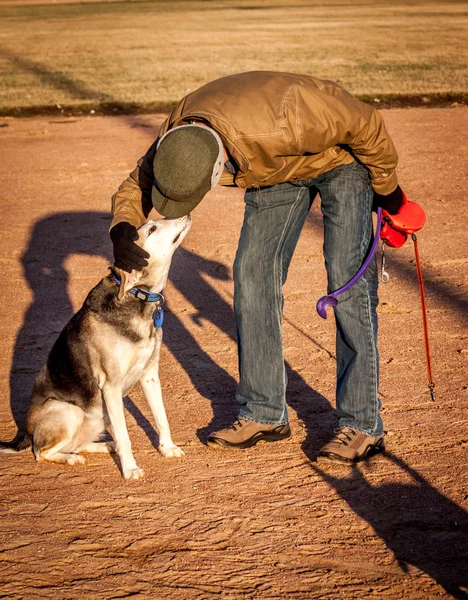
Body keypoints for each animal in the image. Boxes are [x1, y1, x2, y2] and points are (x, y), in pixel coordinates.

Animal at [0, 216, 192, 478]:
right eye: (152, 229)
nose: (186, 215)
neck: (136, 297)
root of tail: (27, 435)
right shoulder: (111, 385)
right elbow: (125, 436)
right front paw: (130, 469)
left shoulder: (150, 374)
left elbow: (161, 418)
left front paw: (167, 448)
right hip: (71, 412)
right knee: (42, 453)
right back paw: (72, 458)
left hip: (99, 417)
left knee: (79, 444)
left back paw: (105, 446)